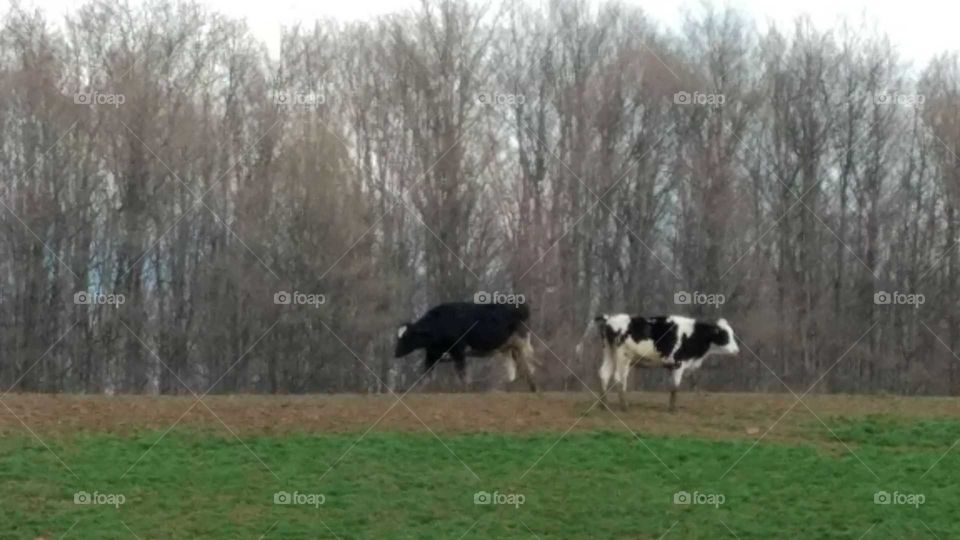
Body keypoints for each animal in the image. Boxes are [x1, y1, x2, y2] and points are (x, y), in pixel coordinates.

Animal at [395, 302, 538, 392]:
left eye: (407, 336)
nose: (396, 353)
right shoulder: (432, 354)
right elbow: (426, 374)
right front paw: (420, 389)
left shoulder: (458, 351)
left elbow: (462, 372)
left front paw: (466, 388)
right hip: (509, 347)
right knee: (516, 366)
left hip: (521, 342)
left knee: (529, 364)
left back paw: (532, 387)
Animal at [594, 314, 739, 412]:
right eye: (725, 336)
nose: (737, 350)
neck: (692, 334)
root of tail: (609, 319)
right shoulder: (678, 363)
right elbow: (675, 387)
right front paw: (673, 410)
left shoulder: (671, 366)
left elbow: (671, 386)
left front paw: (671, 407)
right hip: (623, 356)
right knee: (619, 378)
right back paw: (624, 406)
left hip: (609, 352)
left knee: (604, 373)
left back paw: (604, 405)